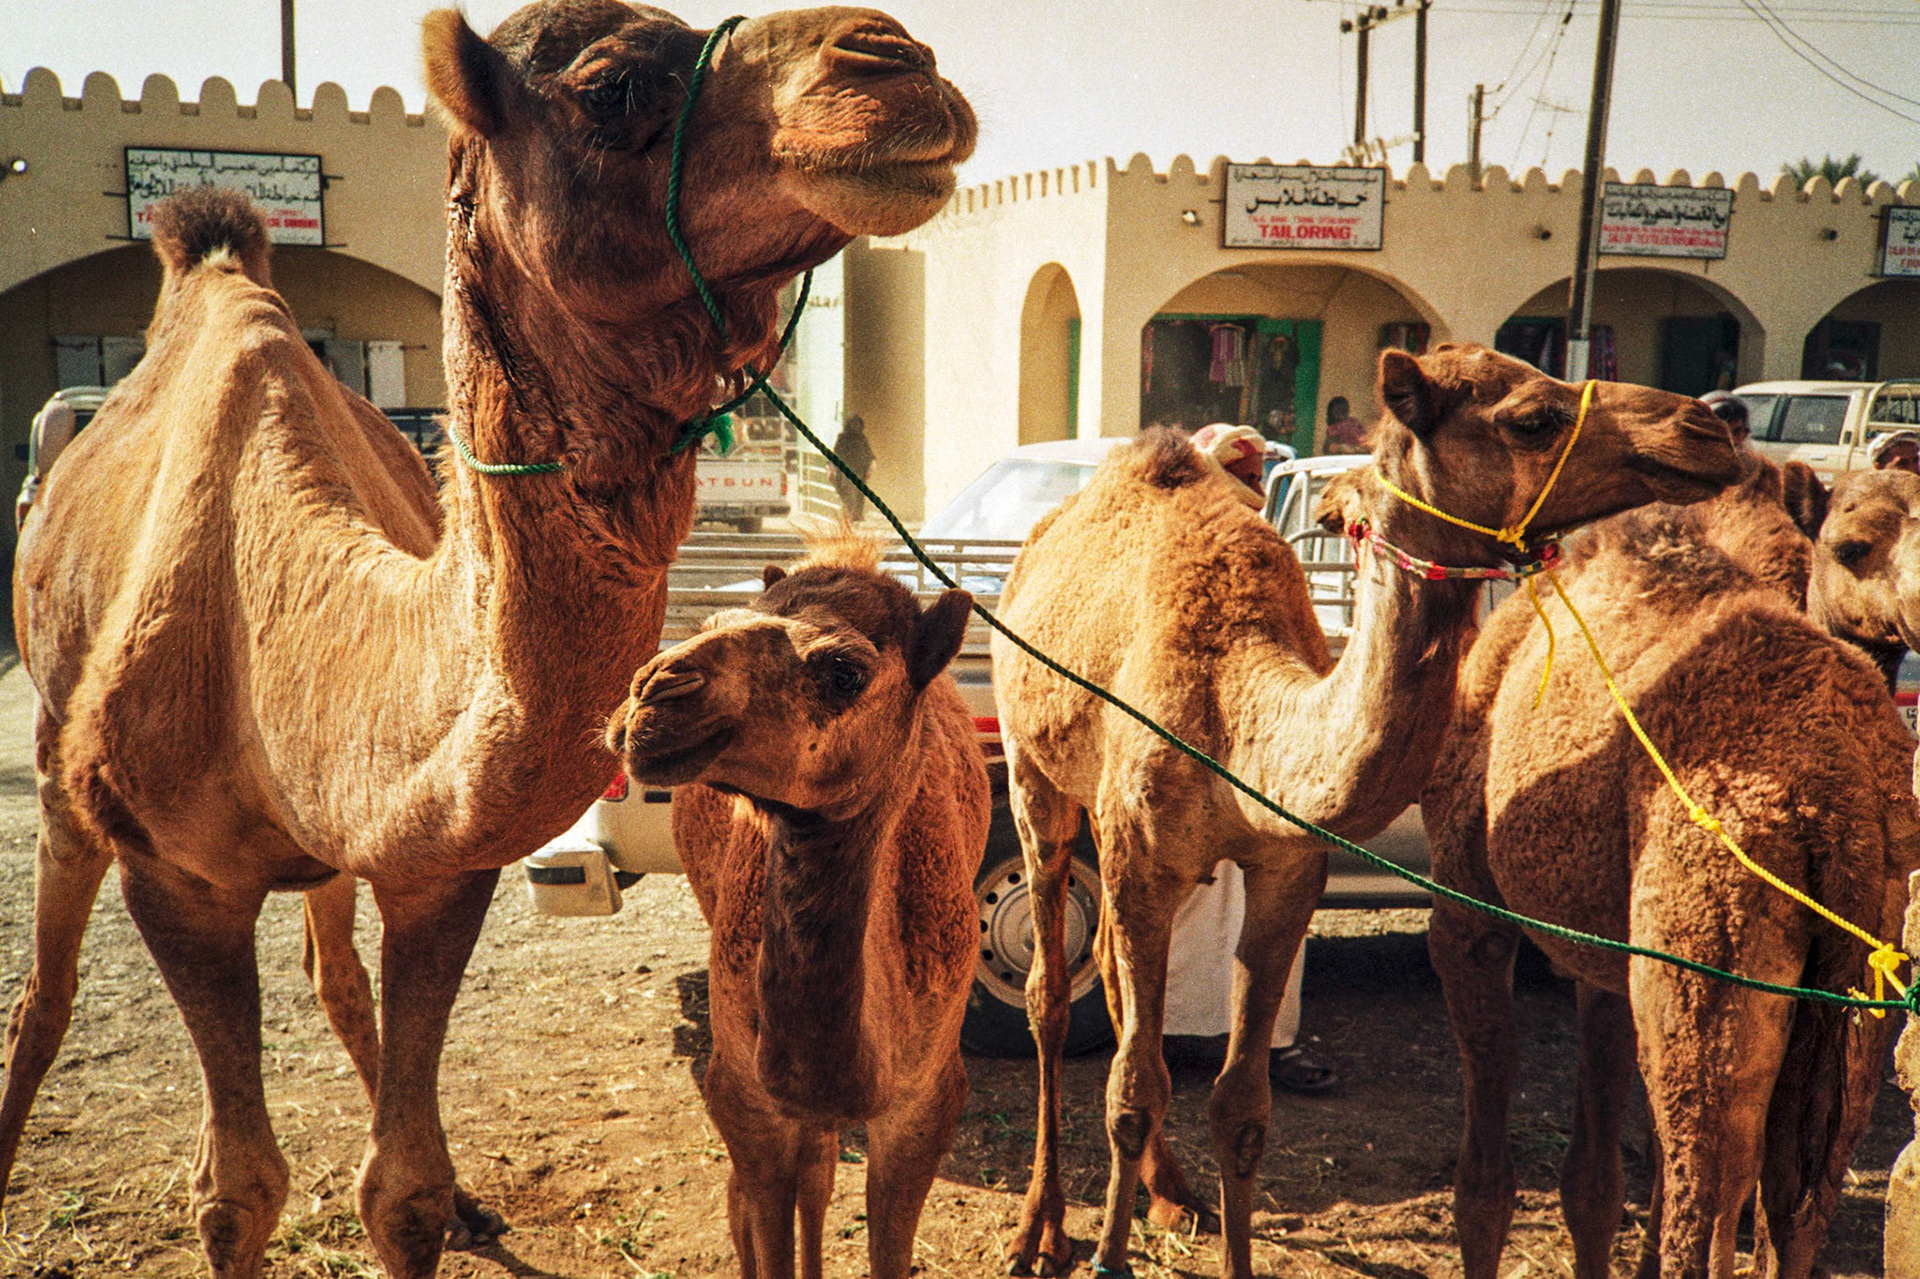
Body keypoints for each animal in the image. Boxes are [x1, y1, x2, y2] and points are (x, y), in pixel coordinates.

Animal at [607, 537, 989, 1279]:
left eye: (845, 671)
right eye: (716, 621)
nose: (653, 693)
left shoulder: (925, 1106)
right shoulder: (743, 1097)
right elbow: (762, 1208)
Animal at [990, 343, 1742, 1279]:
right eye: (1534, 417)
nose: (1710, 424)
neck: (1237, 719)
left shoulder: (1285, 869)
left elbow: (1240, 1106)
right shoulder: (1141, 864)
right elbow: (1131, 1092)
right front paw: (1104, 1256)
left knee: (1116, 985)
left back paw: (1172, 1194)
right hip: (1035, 775)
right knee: (1052, 993)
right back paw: (1040, 1228)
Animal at [1420, 455, 1920, 1279]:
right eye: (1850, 548)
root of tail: (1840, 799)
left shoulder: (1467, 907)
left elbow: (1484, 1183)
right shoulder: (1608, 944)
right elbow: (1594, 1181)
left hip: (1703, 935)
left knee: (1705, 1184)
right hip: (1863, 962)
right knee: (1797, 1193)